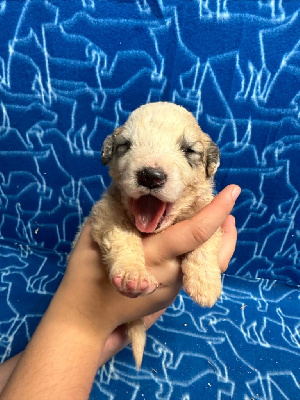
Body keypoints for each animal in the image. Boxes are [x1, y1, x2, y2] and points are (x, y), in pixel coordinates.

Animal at [92, 102, 223, 368]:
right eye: (125, 145)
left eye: (188, 150)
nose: (150, 176)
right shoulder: (105, 214)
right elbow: (123, 237)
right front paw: (132, 275)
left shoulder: (207, 210)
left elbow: (208, 239)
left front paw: (205, 285)